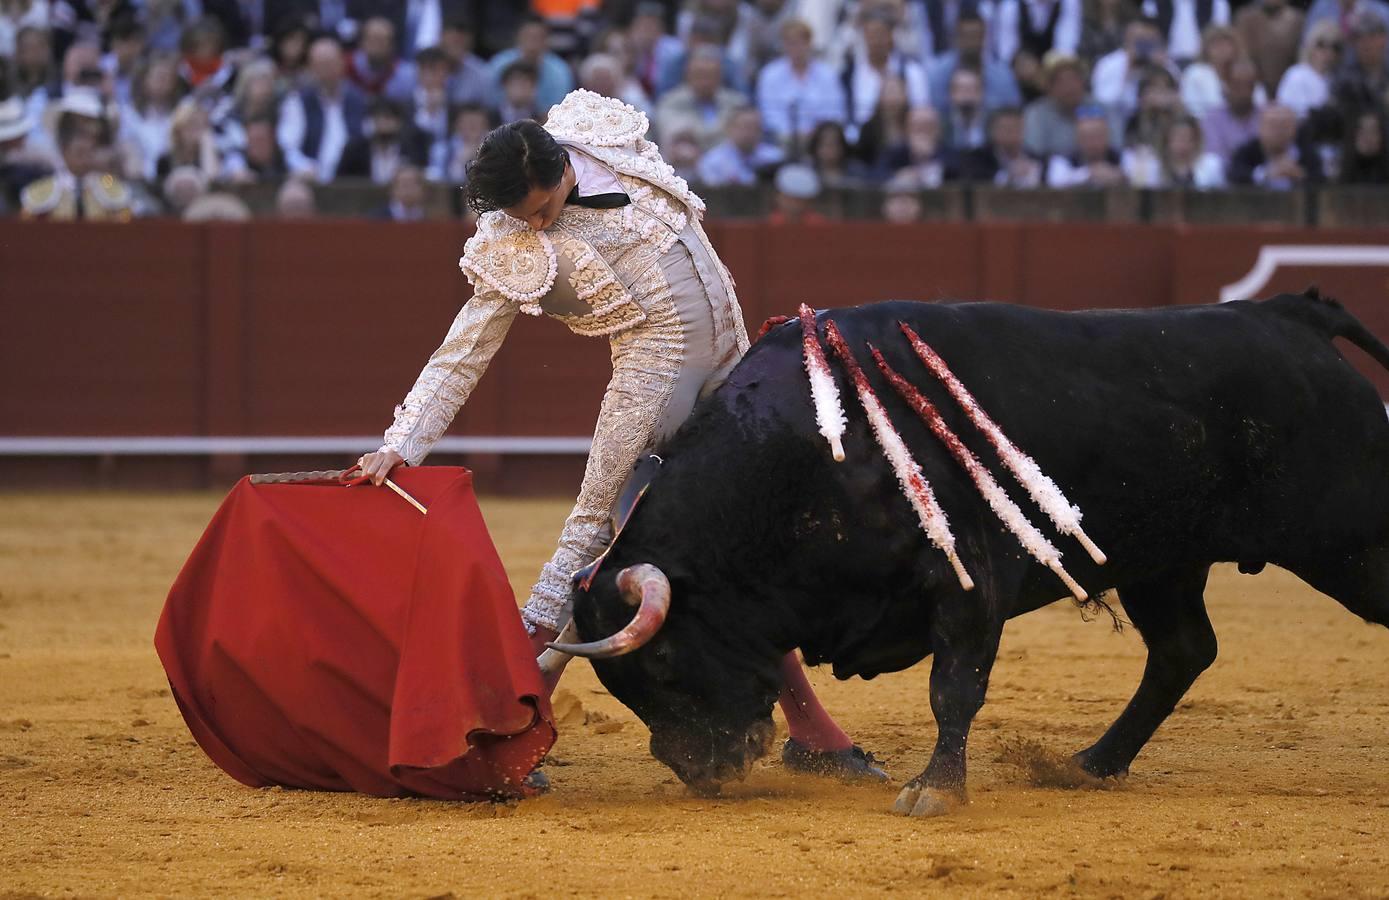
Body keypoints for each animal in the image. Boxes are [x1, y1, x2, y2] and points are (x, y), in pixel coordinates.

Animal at [563, 291, 1389, 811]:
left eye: (664, 662)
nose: (699, 769)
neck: (804, 450)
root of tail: (1288, 314)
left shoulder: (969, 574)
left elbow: (953, 687)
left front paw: (934, 789)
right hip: (1163, 561)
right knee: (1183, 650)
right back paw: (1093, 763)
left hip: (1347, 539)